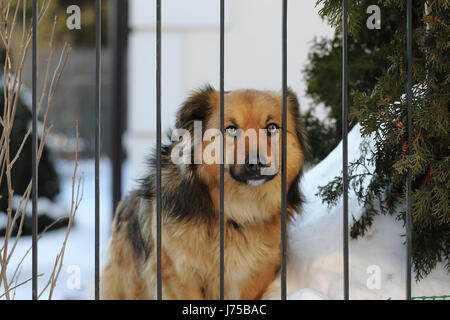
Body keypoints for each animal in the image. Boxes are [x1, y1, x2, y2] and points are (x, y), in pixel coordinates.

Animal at [101, 85, 306, 300]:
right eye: (231, 129)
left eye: (272, 128)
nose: (257, 163)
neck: (236, 215)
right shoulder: (179, 275)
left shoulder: (256, 276)